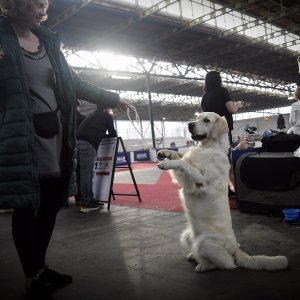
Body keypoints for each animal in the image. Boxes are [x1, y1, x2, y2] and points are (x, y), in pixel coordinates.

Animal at [156, 112, 288, 272]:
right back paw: (193, 255)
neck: (209, 148)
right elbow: (182, 159)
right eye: (197, 117)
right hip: (187, 235)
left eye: (206, 120)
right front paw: (165, 152)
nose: (189, 124)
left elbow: (184, 163)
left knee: (227, 264)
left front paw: (166, 163)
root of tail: (235, 249)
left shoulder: (201, 181)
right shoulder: (187, 179)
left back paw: (203, 266)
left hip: (206, 242)